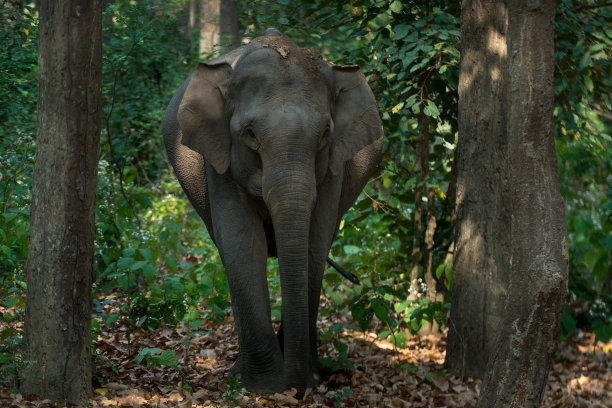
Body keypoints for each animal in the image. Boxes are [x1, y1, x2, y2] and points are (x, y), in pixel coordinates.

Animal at [163, 29, 382, 398]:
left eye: (325, 133)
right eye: (250, 134)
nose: (295, 391)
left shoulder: (334, 168)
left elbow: (314, 245)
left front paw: (309, 378)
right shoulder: (220, 163)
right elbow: (241, 244)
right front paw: (263, 387)